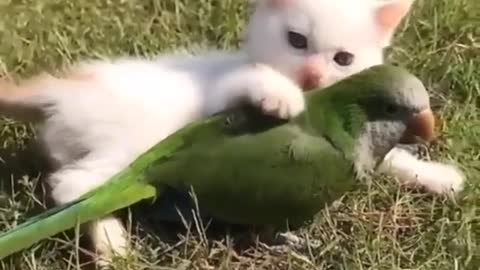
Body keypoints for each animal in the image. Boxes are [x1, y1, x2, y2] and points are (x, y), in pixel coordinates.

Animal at [0, 0, 464, 264]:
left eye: (343, 58)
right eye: (296, 40)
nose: (311, 77)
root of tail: (61, 91)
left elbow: (394, 159)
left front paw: (438, 177)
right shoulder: (227, 86)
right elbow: (256, 84)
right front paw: (283, 99)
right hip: (127, 145)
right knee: (74, 187)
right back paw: (113, 244)